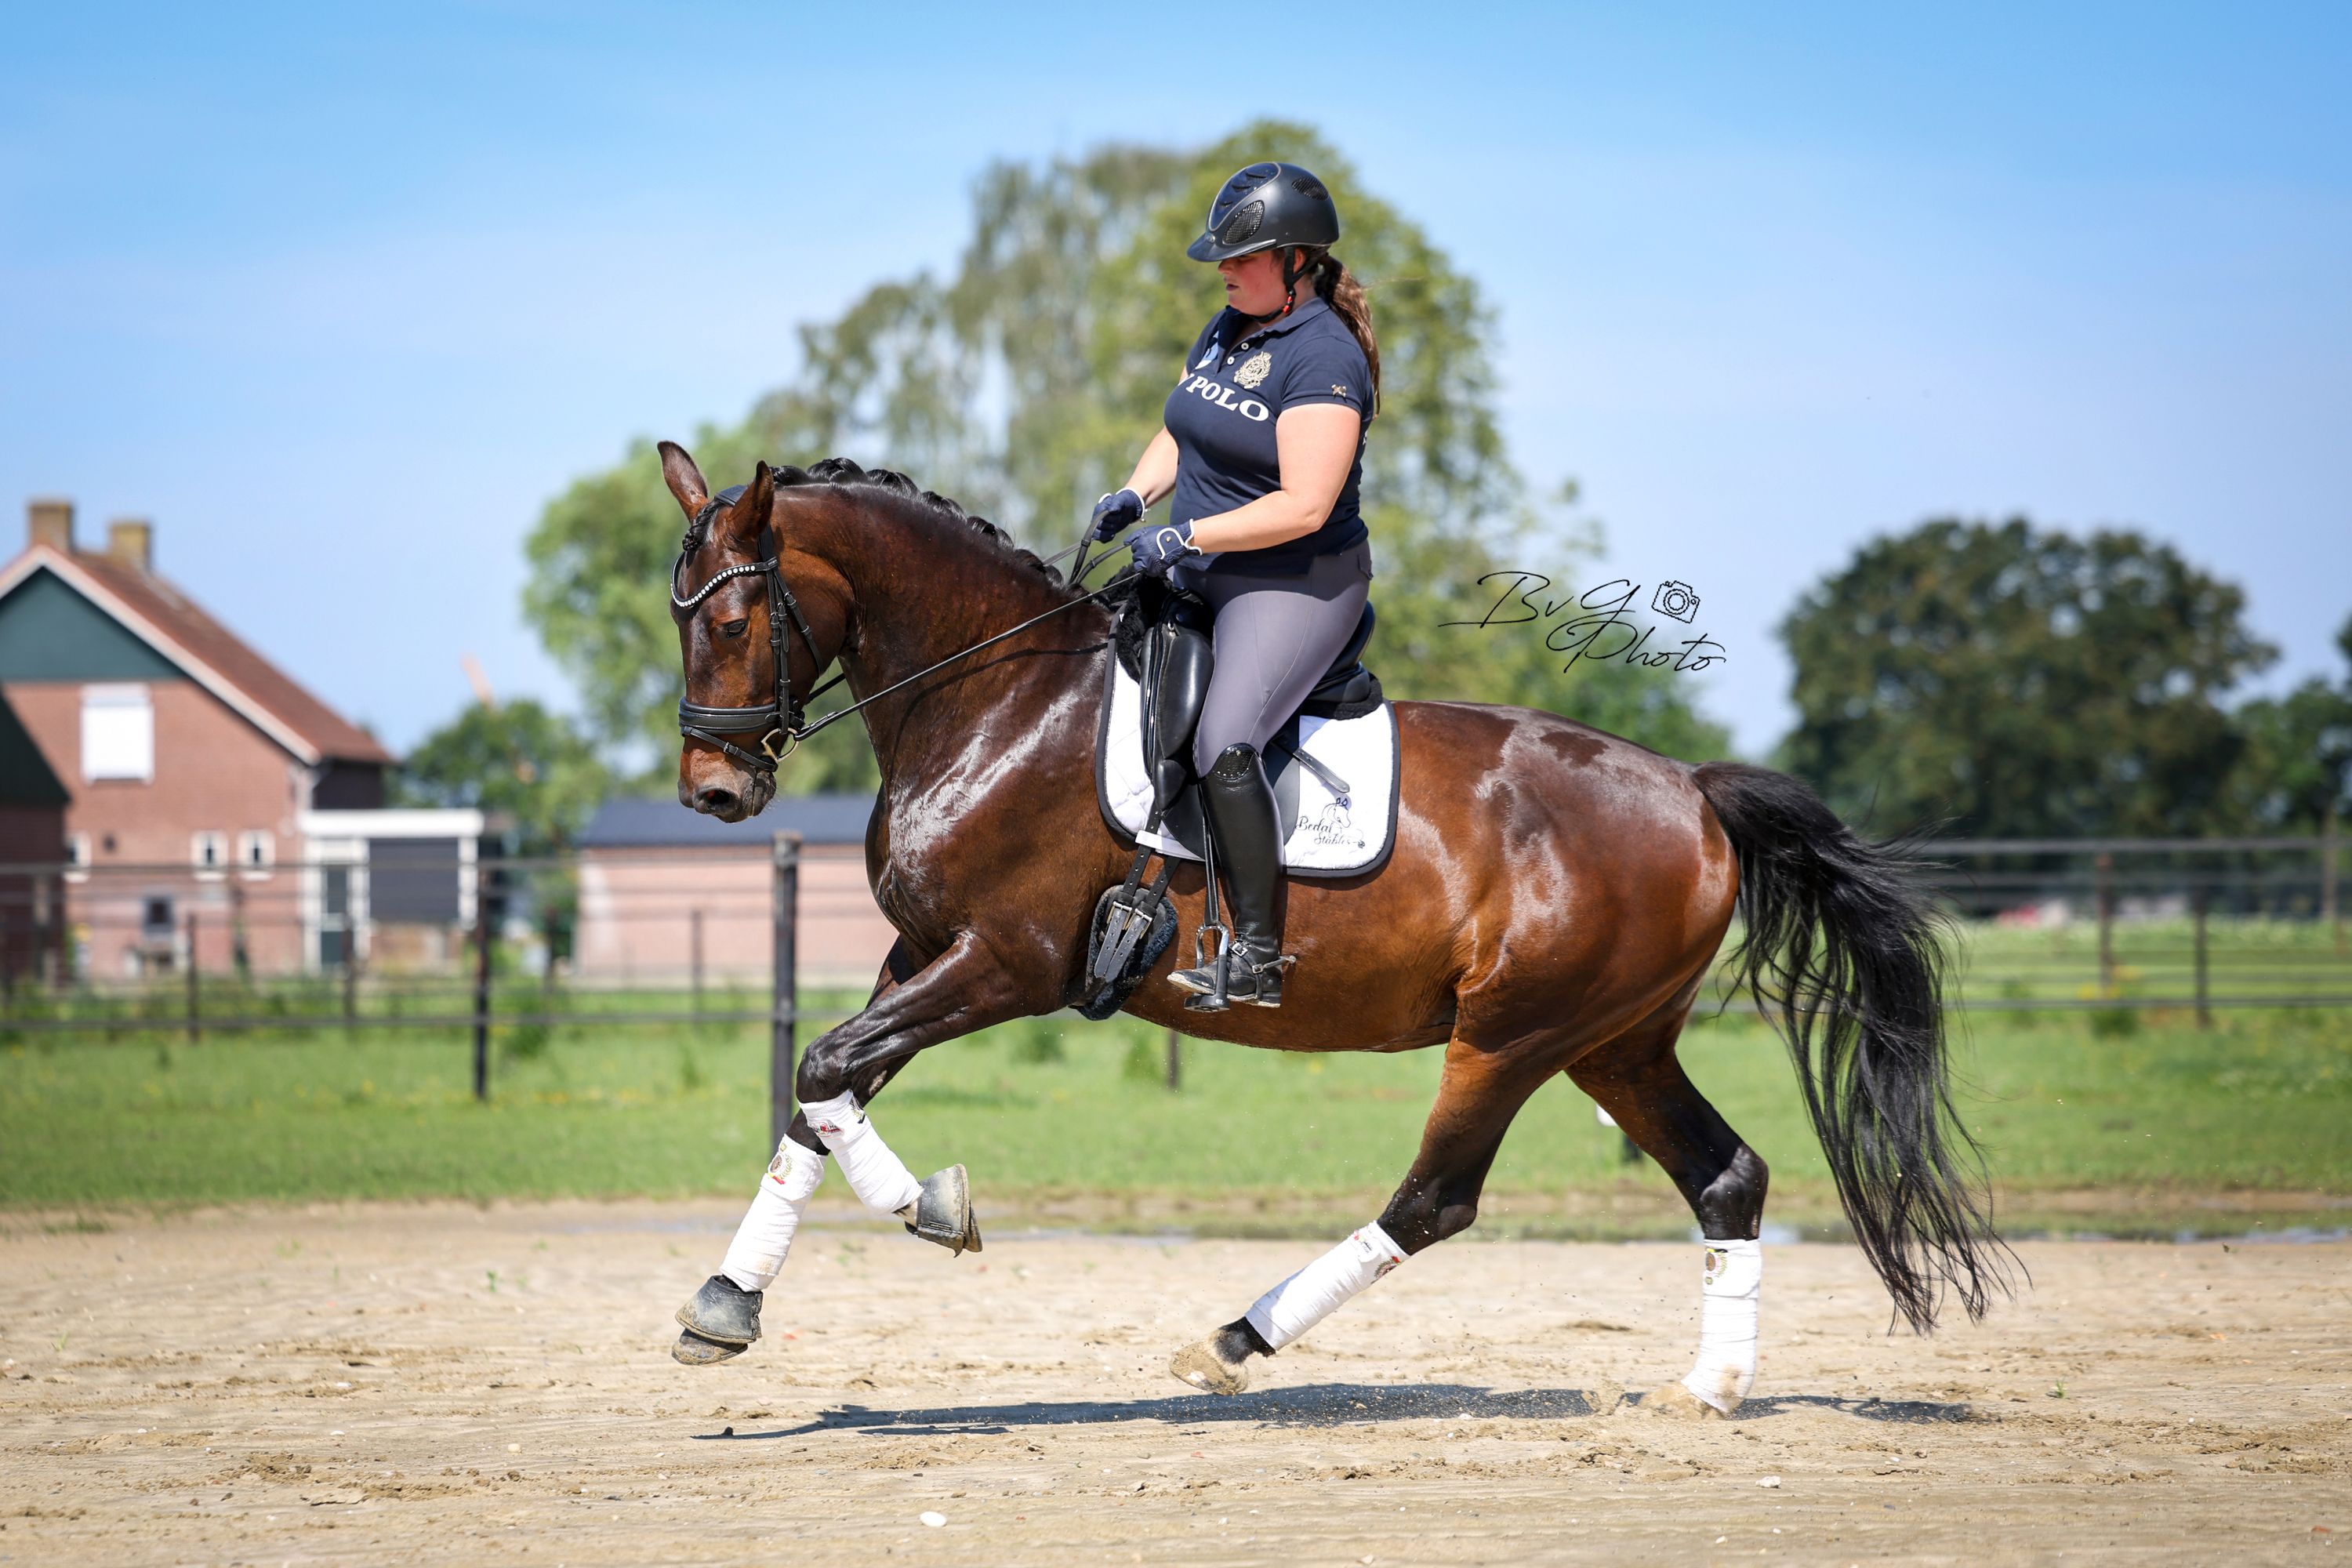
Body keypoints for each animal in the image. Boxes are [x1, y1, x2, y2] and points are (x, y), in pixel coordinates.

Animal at [661, 442, 2009, 1413]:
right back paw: (1713, 1391)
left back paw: (1231, 1342)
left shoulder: (1007, 964)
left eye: (729, 623)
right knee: (1725, 1175)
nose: (713, 794)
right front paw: (728, 1303)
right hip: (1614, 1043)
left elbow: (826, 1066)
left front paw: (935, 1209)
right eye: (680, 620)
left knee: (1436, 1201)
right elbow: (820, 1091)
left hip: (1512, 1037)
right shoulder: (921, 951)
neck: (997, 699)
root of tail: (1690, 789)